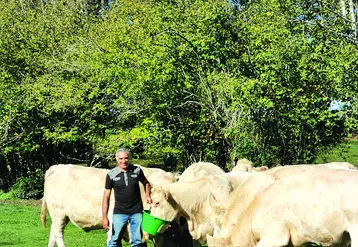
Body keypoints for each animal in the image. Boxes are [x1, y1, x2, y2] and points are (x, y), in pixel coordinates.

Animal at [40, 164, 183, 247]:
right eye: (157, 201)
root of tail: (55, 167)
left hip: (60, 217)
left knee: (53, 233)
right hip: (58, 213)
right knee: (58, 234)